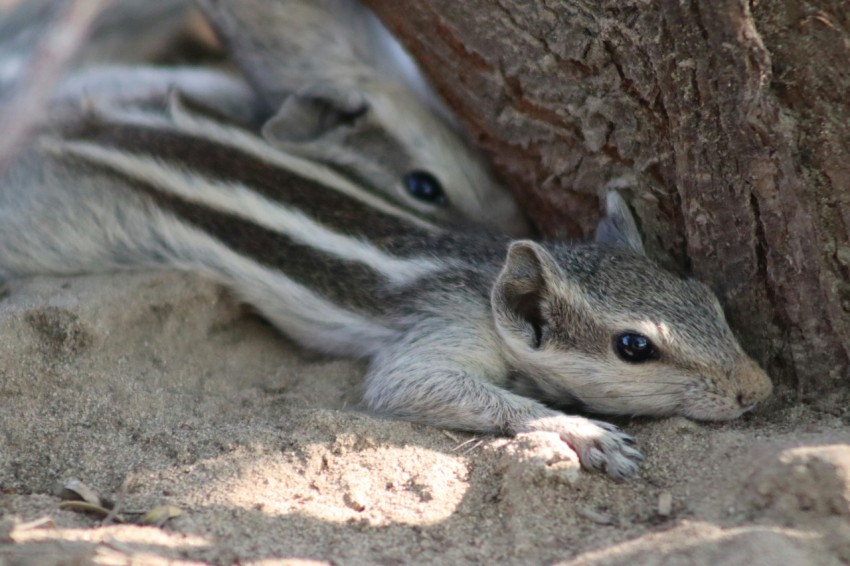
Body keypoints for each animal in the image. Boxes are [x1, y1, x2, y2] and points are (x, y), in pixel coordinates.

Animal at [0, 90, 772, 484]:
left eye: (706, 298)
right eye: (634, 347)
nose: (757, 389)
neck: (484, 277)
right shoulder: (441, 330)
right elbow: (411, 384)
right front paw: (581, 431)